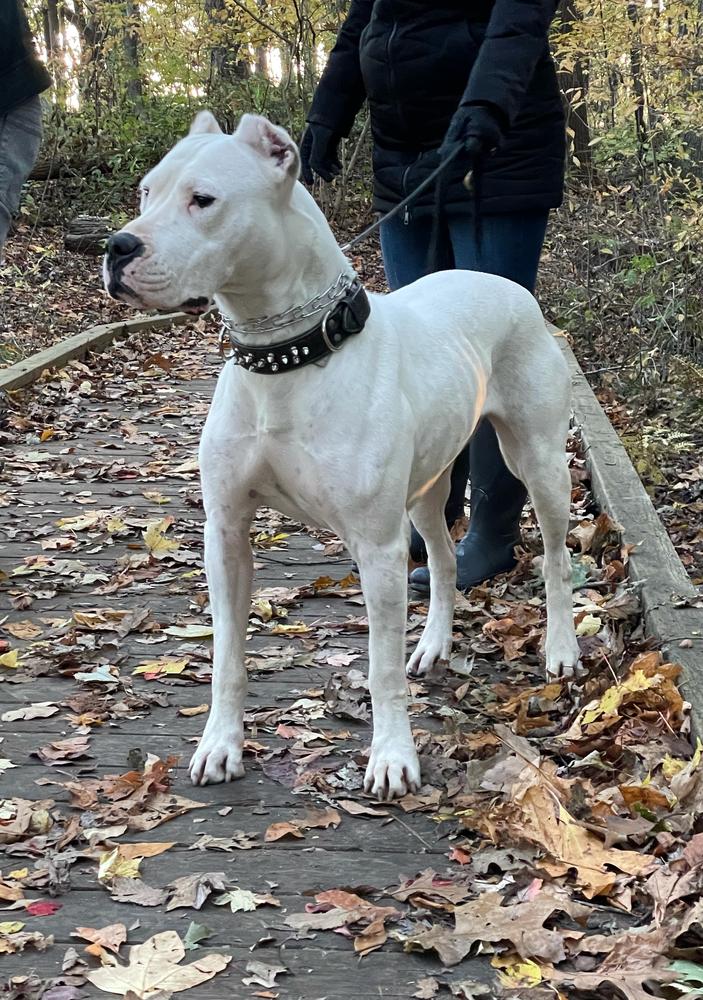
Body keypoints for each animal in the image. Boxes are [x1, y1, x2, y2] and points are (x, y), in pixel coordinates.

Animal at [103, 111, 576, 796]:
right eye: (146, 192)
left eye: (203, 200)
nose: (117, 247)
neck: (284, 357)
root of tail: (501, 282)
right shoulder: (226, 533)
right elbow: (226, 654)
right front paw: (220, 745)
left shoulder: (376, 549)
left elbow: (381, 671)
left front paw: (392, 757)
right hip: (426, 488)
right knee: (442, 560)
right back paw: (433, 644)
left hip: (538, 462)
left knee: (556, 558)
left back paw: (562, 650)